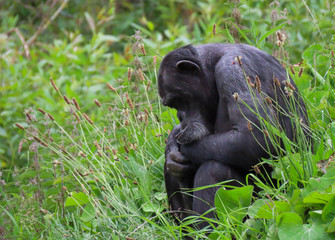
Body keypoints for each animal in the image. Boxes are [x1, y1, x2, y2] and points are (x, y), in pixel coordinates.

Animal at [158, 43, 310, 229]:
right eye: (172, 105)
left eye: (178, 101)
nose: (180, 116)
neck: (213, 65)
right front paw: (173, 149)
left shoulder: (232, 71)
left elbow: (255, 138)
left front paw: (180, 152)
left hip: (268, 199)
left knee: (214, 170)